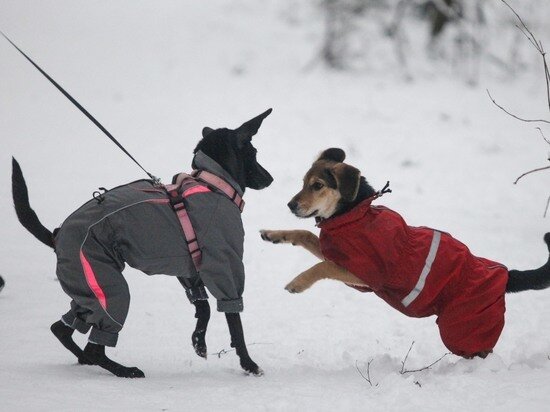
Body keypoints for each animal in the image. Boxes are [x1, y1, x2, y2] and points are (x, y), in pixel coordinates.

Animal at [14, 108, 276, 376]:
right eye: (254, 153)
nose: (270, 178)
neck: (213, 182)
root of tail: (56, 236)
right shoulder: (223, 266)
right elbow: (234, 321)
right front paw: (249, 364)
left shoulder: (189, 269)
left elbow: (203, 307)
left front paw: (199, 342)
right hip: (107, 285)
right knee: (95, 346)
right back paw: (126, 371)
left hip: (86, 289)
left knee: (62, 328)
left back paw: (86, 358)